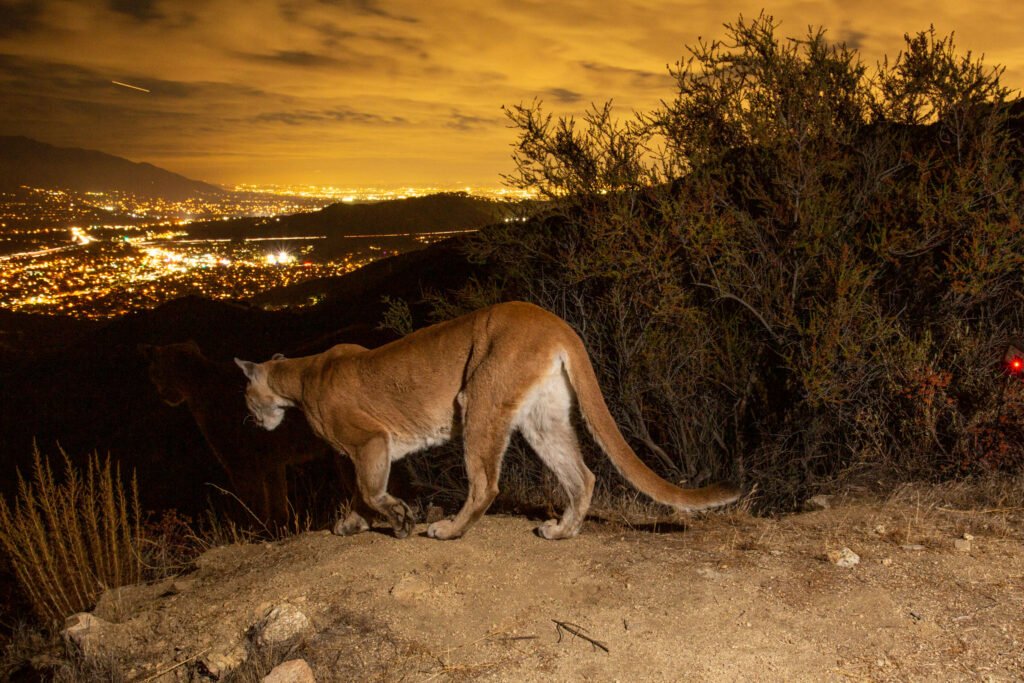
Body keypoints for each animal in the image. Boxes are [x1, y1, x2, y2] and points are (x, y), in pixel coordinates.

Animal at [140, 341, 355, 526]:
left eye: (155, 372)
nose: (163, 395)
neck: (198, 386)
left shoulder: (242, 466)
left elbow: (253, 503)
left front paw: (254, 532)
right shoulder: (271, 464)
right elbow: (277, 502)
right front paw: (277, 529)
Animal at [235, 301, 740, 540]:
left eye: (246, 400)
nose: (254, 422)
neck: (300, 375)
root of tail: (557, 323)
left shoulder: (369, 441)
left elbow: (370, 490)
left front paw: (399, 519)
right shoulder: (359, 452)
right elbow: (359, 493)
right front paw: (352, 524)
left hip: (477, 396)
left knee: (485, 484)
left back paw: (448, 530)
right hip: (542, 418)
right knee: (582, 475)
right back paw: (561, 531)